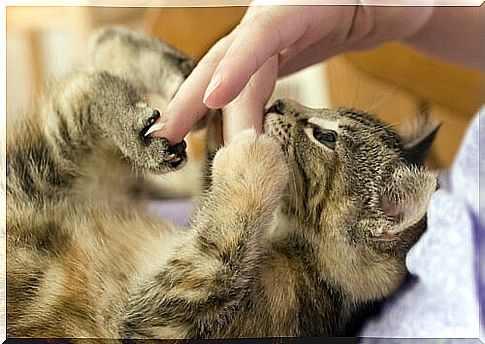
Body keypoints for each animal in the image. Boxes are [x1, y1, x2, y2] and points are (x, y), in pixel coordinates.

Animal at [6, 26, 438, 338]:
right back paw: (171, 74)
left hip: (43, 173)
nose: (278, 102)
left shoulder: (159, 316)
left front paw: (253, 159)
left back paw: (138, 124)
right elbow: (211, 188)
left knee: (82, 91)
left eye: (325, 136)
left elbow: (221, 243)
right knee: (89, 83)